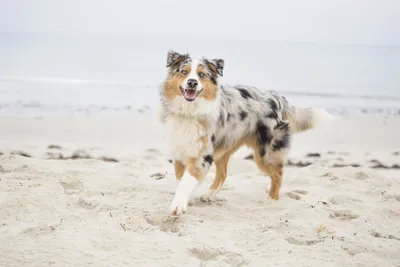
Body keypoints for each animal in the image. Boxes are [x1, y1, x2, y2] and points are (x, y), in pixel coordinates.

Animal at [159, 50, 332, 217]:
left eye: (201, 75)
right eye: (184, 72)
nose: (192, 82)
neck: (189, 111)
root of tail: (277, 98)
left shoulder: (202, 154)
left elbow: (186, 181)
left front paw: (178, 206)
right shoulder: (179, 149)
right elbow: (181, 177)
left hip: (266, 152)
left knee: (278, 174)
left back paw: (271, 200)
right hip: (225, 145)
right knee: (223, 173)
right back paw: (210, 195)